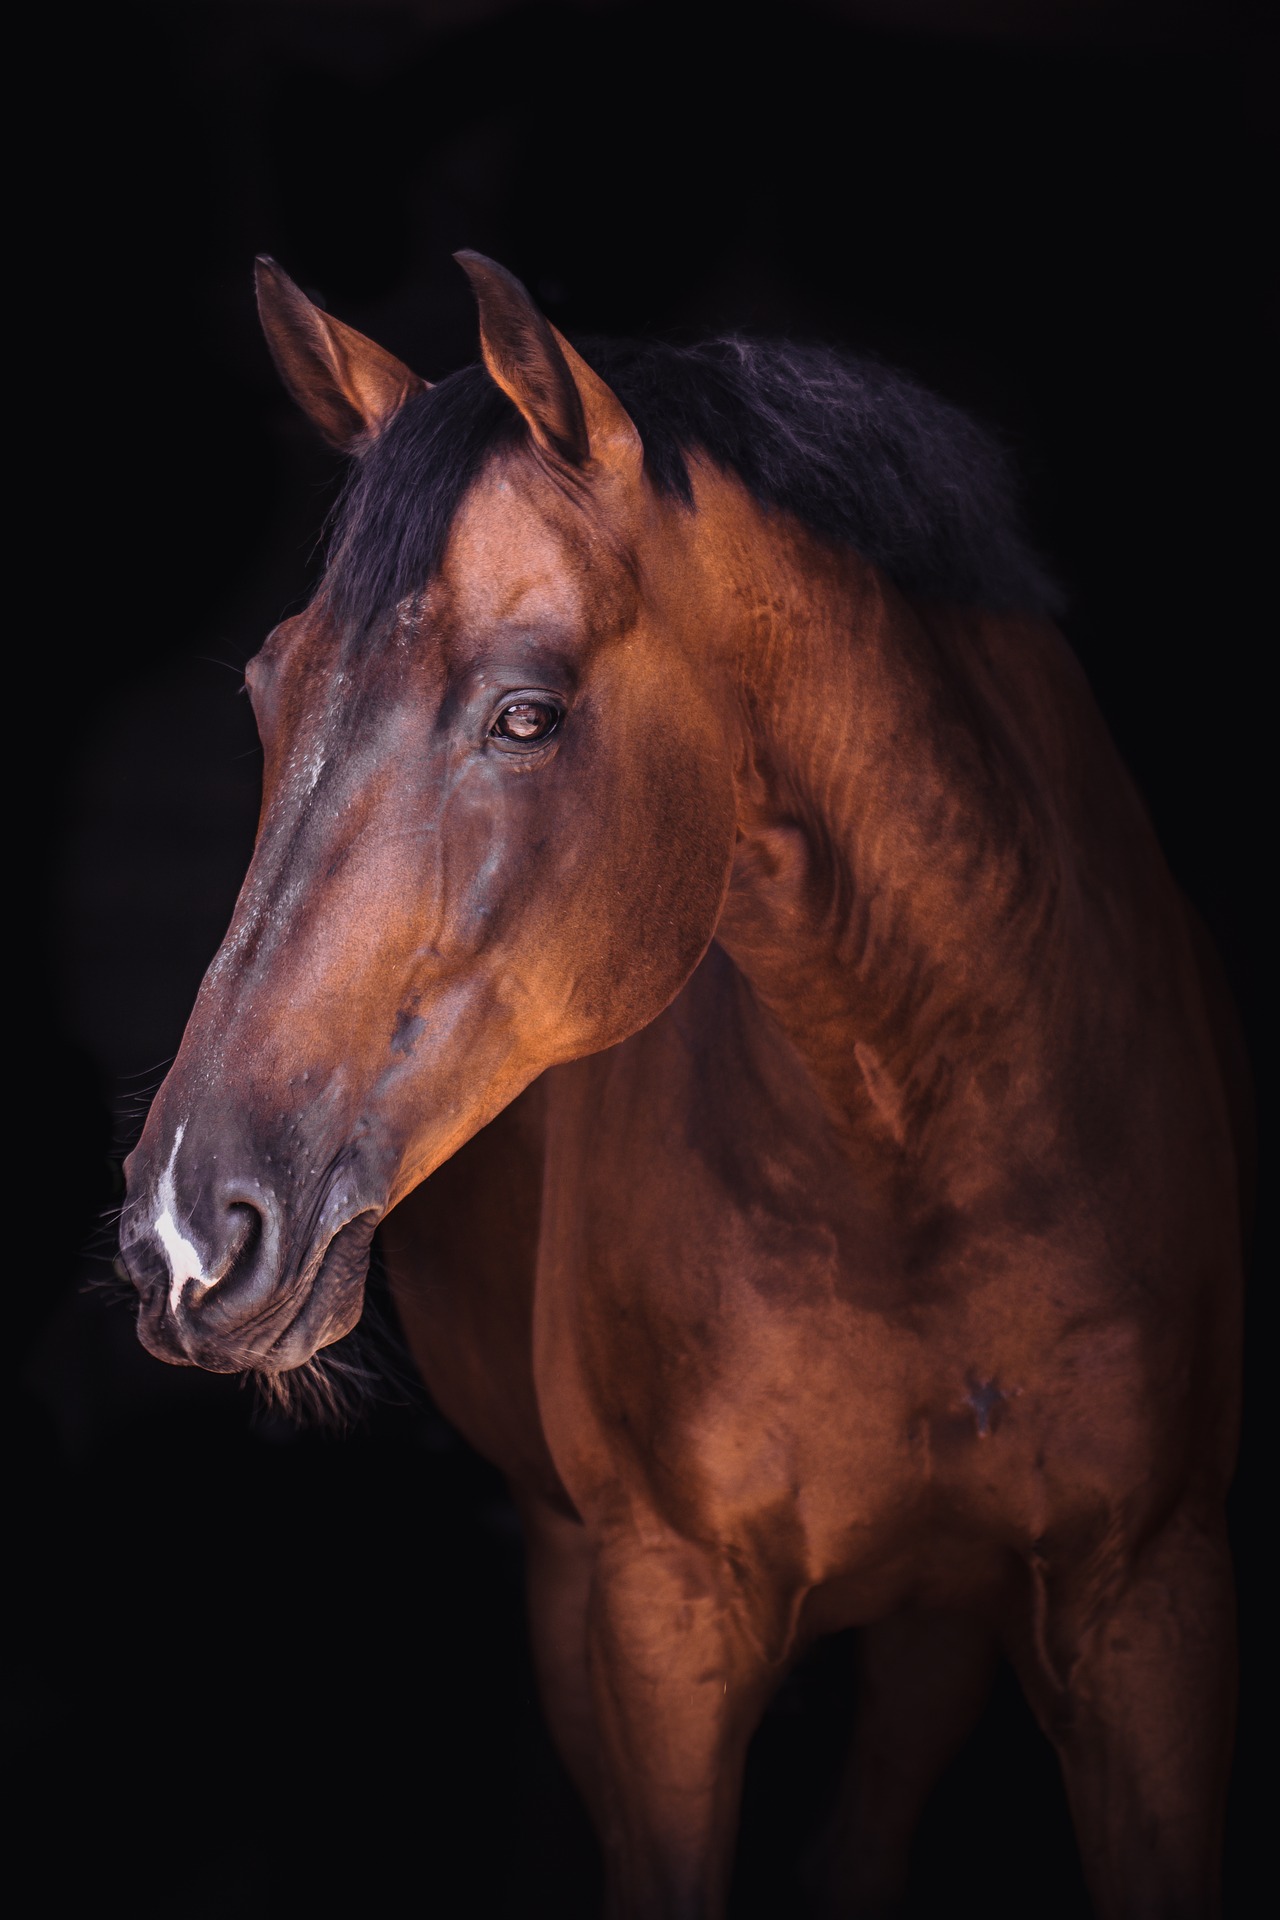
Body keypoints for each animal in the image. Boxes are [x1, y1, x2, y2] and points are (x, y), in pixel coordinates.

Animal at [117, 255, 1243, 1920]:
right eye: (268, 688)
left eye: (526, 711)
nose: (190, 1234)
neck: (929, 1140)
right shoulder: (662, 1622)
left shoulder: (1149, 1606)